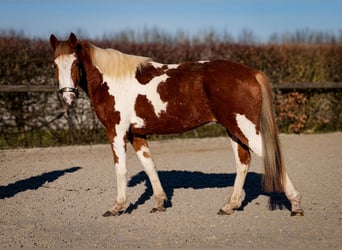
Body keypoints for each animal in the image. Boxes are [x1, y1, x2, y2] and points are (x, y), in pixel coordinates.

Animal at [49, 33, 304, 217]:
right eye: (54, 65)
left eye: (75, 63)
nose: (67, 97)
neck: (113, 81)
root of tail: (251, 72)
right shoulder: (136, 134)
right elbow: (149, 166)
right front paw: (159, 203)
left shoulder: (116, 131)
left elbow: (120, 168)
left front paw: (118, 207)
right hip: (234, 129)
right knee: (243, 162)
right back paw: (230, 206)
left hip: (245, 127)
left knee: (268, 157)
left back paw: (295, 205)